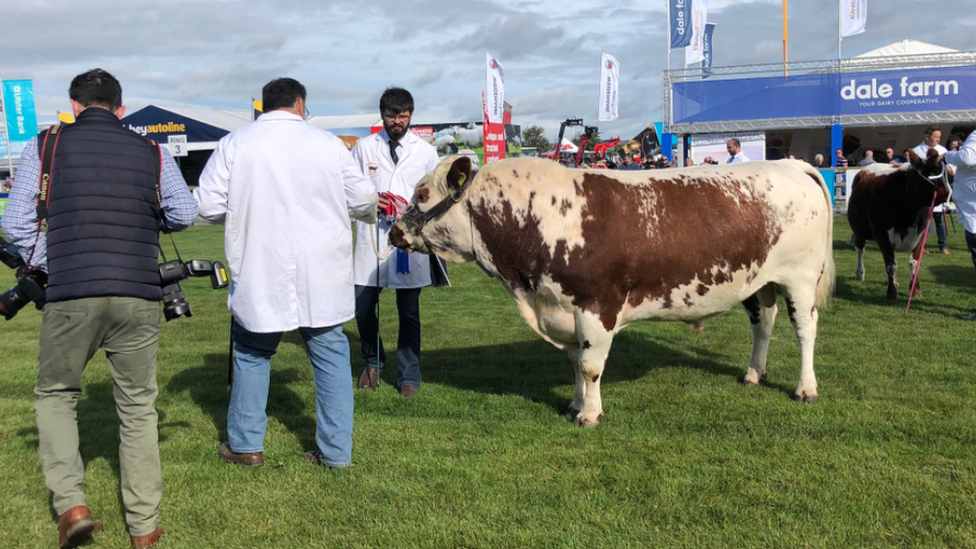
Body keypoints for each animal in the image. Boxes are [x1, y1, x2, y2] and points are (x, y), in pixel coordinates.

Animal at [392, 156, 836, 426]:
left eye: (422, 194)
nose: (394, 230)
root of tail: (791, 164)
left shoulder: (596, 305)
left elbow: (591, 366)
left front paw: (589, 415)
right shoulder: (563, 307)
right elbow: (575, 363)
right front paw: (575, 403)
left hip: (799, 277)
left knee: (805, 330)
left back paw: (806, 388)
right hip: (759, 281)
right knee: (764, 323)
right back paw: (753, 374)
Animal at [848, 150, 952, 300]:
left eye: (947, 174)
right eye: (931, 172)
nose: (950, 192)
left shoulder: (920, 234)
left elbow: (914, 262)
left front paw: (915, 290)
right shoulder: (881, 235)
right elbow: (891, 265)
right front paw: (891, 293)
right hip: (859, 229)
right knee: (860, 249)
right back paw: (859, 273)